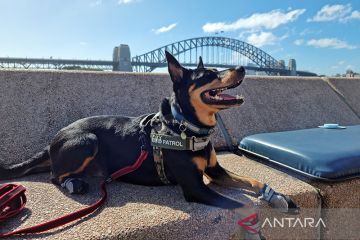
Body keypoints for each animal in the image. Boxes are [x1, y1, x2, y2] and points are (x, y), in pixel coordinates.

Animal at [0, 51, 298, 238]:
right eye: (208, 75)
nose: (242, 68)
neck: (186, 127)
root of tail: (54, 139)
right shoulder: (196, 188)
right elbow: (246, 206)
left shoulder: (215, 171)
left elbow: (254, 180)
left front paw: (277, 196)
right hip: (87, 141)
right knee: (54, 175)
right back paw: (73, 182)